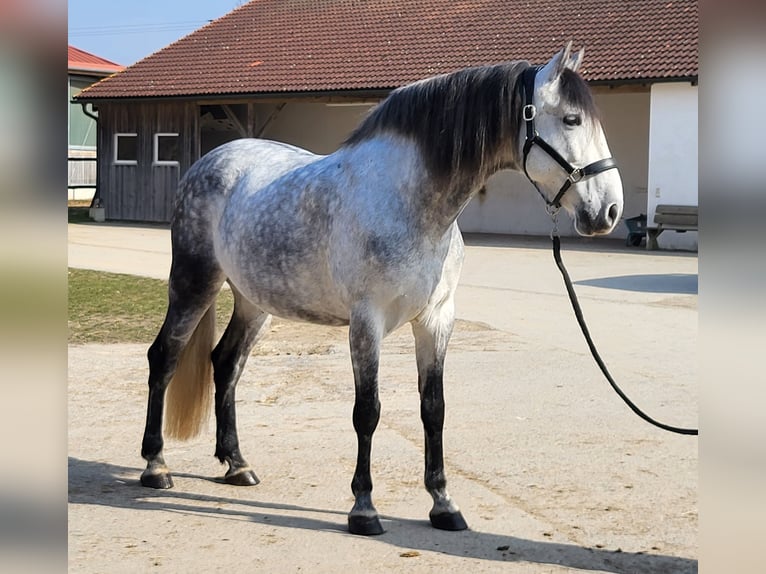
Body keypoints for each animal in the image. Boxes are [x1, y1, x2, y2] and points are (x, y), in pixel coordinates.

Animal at [140, 42, 623, 536]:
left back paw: (237, 464)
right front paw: (364, 508)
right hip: (194, 283)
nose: (609, 211)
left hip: (255, 303)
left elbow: (434, 409)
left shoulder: (436, 320)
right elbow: (367, 411)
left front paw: (443, 504)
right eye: (571, 119)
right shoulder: (366, 322)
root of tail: (211, 160)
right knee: (164, 357)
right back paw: (156, 466)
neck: (409, 202)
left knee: (226, 363)